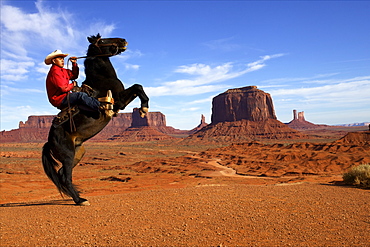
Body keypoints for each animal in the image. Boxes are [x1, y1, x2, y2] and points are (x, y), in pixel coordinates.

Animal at [41, 33, 149, 206]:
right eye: (103, 40)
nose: (123, 40)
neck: (101, 77)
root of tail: (49, 142)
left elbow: (138, 86)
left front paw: (143, 109)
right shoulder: (119, 101)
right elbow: (137, 87)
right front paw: (144, 108)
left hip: (78, 153)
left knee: (62, 174)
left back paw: (78, 198)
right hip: (68, 155)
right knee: (66, 177)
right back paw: (80, 200)